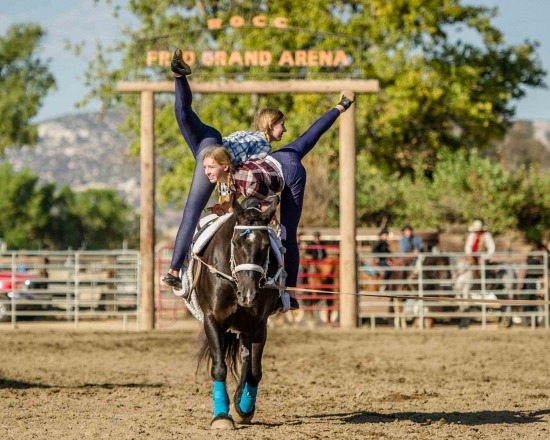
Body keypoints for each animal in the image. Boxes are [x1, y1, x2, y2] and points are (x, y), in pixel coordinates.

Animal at [193, 196, 280, 430]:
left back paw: (241, 403)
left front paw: (245, 408)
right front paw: (222, 416)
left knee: (246, 358)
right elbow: (219, 368)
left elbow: (255, 371)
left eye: (266, 246)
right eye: (236, 244)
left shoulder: (259, 324)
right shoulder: (212, 320)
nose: (248, 295)